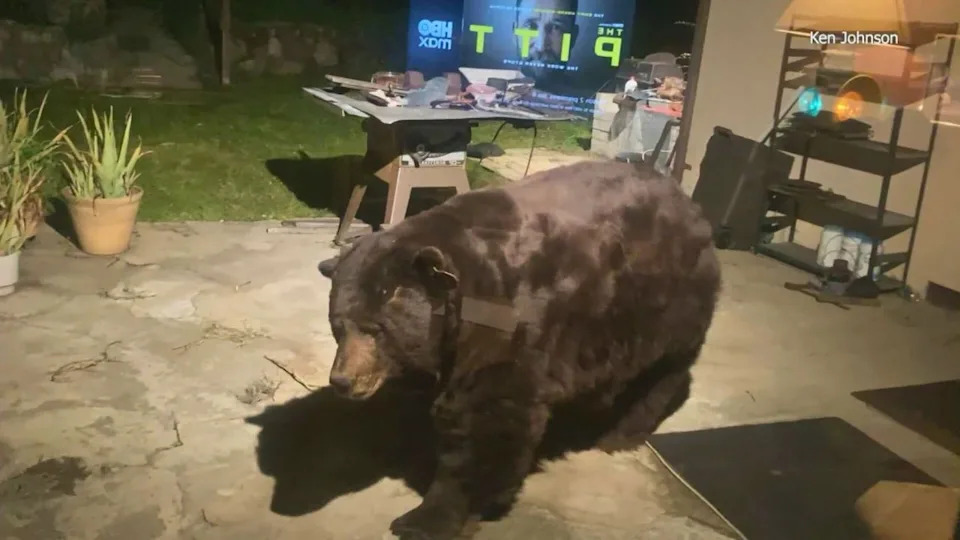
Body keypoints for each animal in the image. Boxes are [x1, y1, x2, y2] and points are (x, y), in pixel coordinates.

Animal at [317, 160, 721, 539]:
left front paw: (424, 518)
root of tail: (691, 205)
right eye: (338, 324)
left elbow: (485, 424)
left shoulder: (510, 329)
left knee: (660, 375)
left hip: (664, 309)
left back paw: (620, 433)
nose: (342, 381)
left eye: (376, 328)